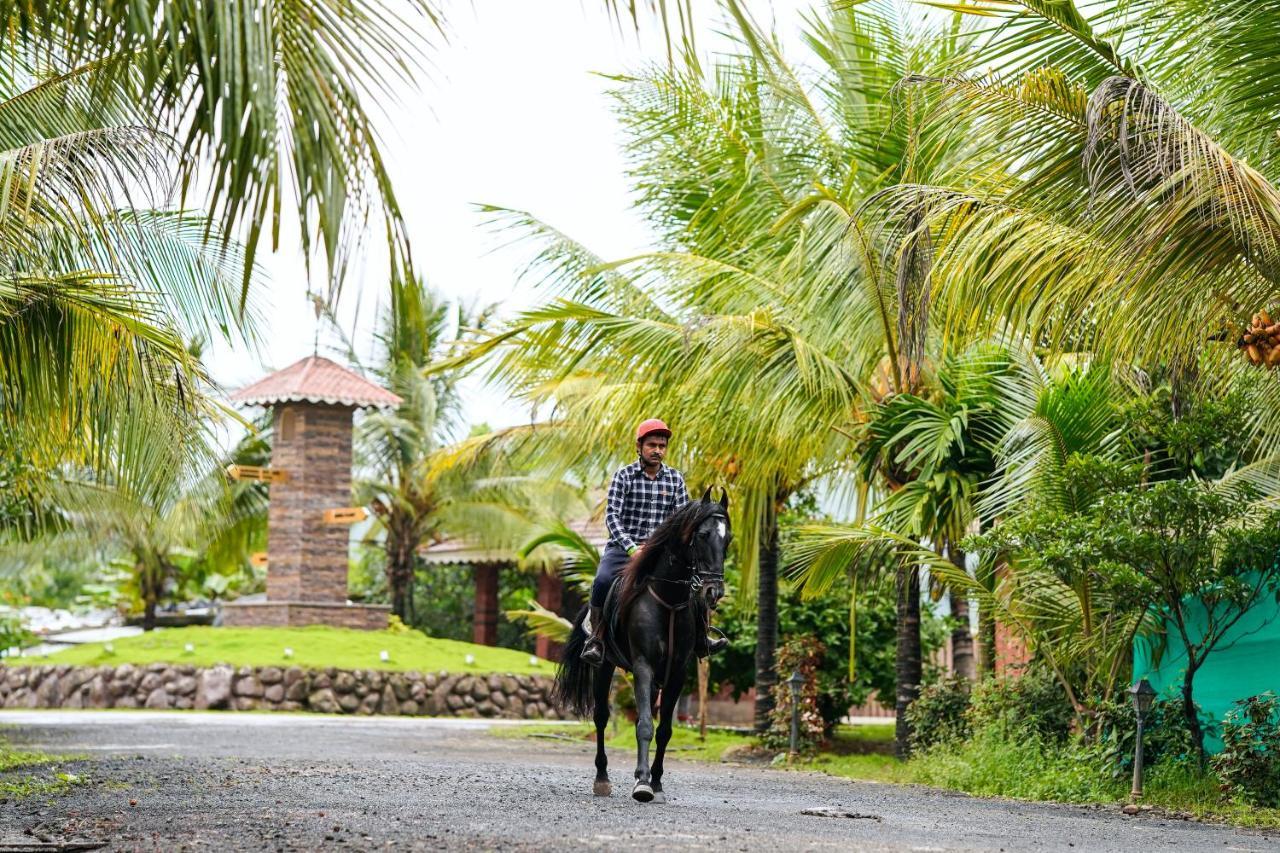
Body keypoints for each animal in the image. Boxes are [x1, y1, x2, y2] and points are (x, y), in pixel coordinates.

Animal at [552, 489, 727, 799]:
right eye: (703, 535)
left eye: (727, 538)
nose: (713, 592)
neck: (668, 599)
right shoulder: (643, 666)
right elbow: (645, 725)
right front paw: (643, 784)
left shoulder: (678, 672)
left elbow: (665, 729)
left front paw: (655, 780)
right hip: (605, 666)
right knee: (601, 717)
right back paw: (602, 778)